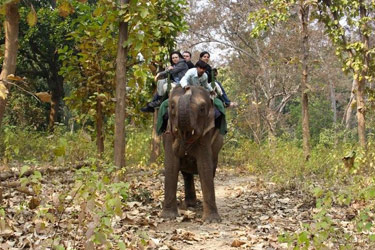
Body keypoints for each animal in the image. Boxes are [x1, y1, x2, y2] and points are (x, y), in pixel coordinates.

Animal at [162, 85, 223, 222]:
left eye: (202, 109)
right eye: (172, 106)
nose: (187, 87)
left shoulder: (206, 133)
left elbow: (204, 166)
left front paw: (212, 220)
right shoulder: (168, 134)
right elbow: (171, 165)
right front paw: (168, 217)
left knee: (211, 168)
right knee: (186, 174)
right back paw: (190, 205)